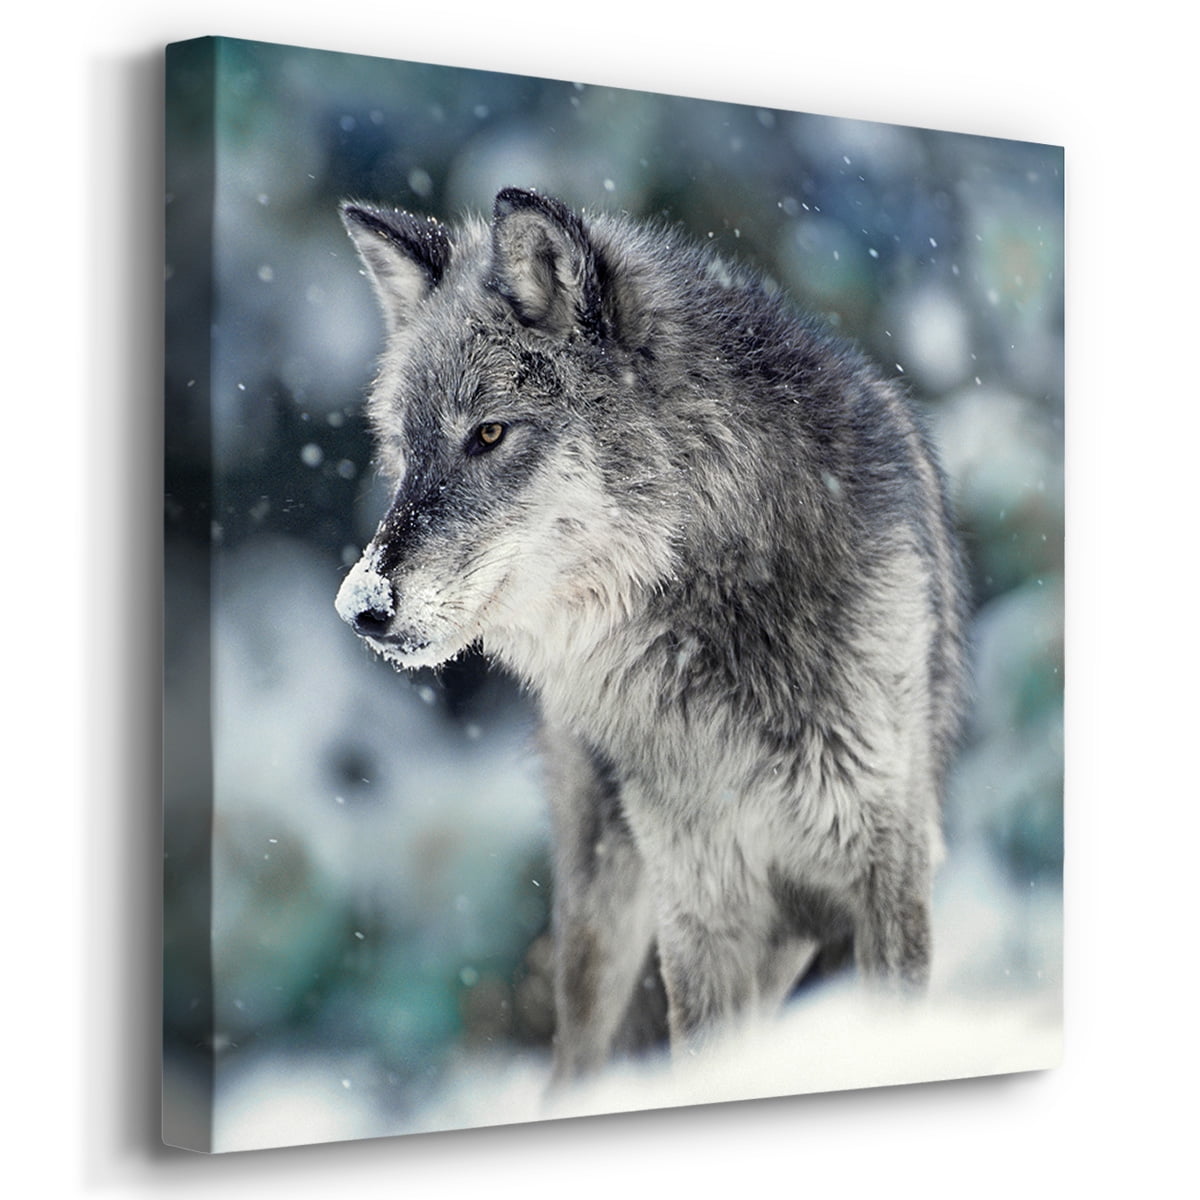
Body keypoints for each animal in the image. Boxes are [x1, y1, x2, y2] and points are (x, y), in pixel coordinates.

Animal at [334, 187, 969, 1082]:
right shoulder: (701, 903)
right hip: (610, 918)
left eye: (488, 433)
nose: (360, 605)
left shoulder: (888, 870)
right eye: (404, 450)